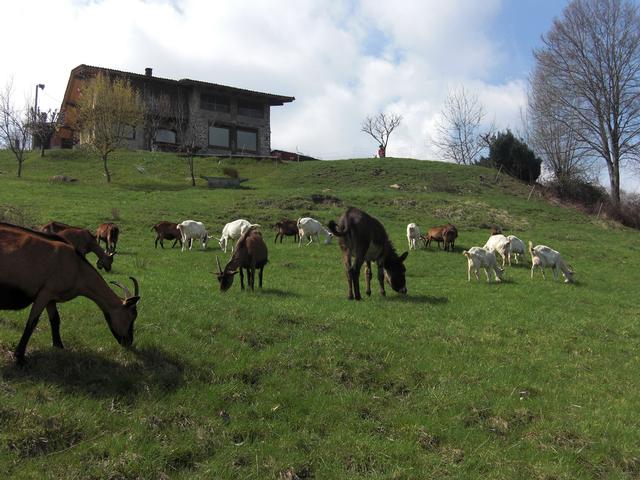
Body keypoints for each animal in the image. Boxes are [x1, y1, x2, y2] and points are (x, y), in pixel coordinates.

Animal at [0, 223, 139, 362]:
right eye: (132, 316)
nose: (129, 341)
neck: (77, 268)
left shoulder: (51, 296)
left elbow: (55, 320)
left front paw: (59, 346)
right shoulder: (44, 293)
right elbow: (32, 323)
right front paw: (19, 357)